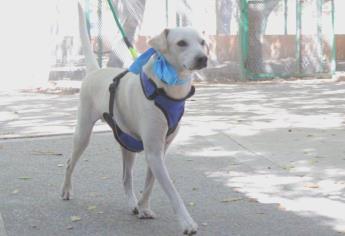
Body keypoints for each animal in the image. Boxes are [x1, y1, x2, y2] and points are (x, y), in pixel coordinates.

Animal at [61, 3, 207, 234]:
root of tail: (95, 71)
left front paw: (144, 207)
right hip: (83, 133)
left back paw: (133, 204)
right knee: (69, 162)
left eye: (202, 43)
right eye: (181, 43)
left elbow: (149, 184)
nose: (203, 58)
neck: (166, 88)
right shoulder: (154, 151)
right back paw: (66, 190)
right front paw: (186, 222)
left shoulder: (159, 151)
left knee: (125, 177)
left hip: (127, 143)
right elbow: (172, 190)